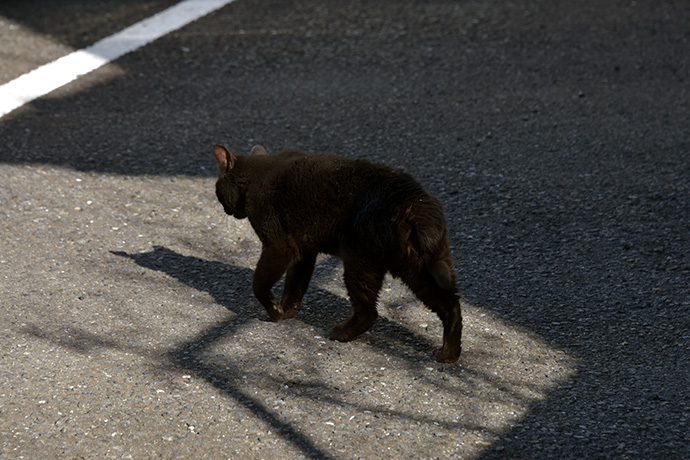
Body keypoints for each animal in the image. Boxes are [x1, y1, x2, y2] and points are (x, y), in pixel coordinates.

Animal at [212, 144, 460, 362]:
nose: (226, 211)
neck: (257, 174)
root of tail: (415, 200)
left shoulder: (280, 246)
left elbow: (260, 284)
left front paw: (275, 312)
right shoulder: (303, 251)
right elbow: (295, 284)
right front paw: (288, 310)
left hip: (360, 262)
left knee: (369, 312)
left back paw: (340, 334)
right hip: (420, 267)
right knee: (451, 306)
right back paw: (449, 354)